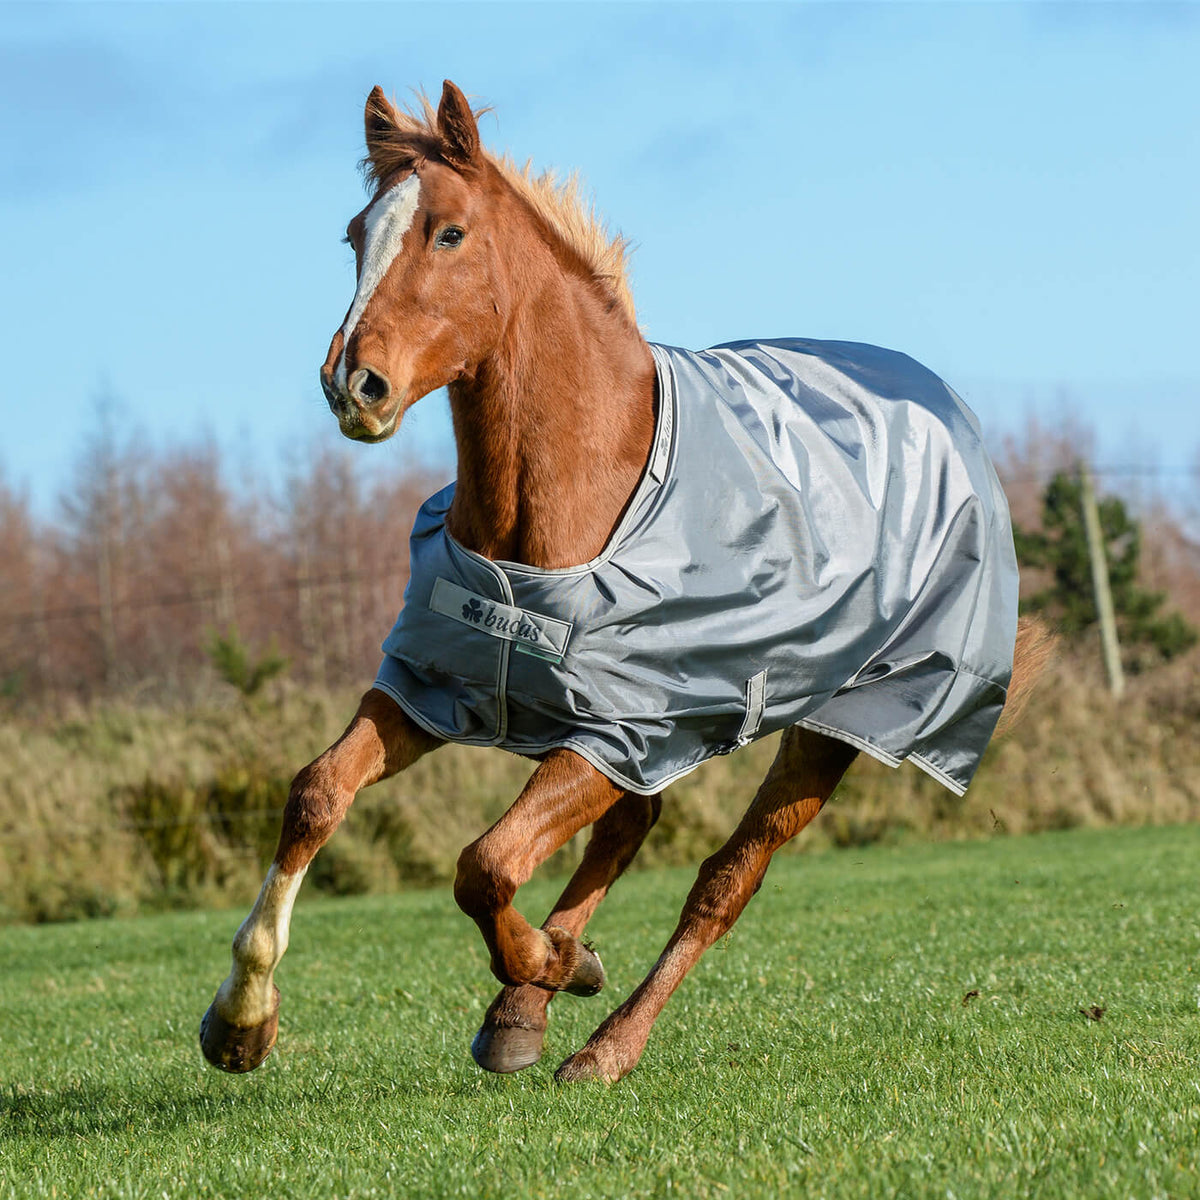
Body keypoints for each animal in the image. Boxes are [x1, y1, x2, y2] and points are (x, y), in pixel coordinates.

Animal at [200, 80, 1052, 1083]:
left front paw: (555, 962)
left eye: (448, 233)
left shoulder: (616, 729)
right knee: (630, 827)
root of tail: (946, 408)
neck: (561, 508)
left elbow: (485, 864)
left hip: (829, 730)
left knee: (723, 881)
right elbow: (317, 793)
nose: (352, 384)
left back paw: (602, 1041)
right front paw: (240, 1021)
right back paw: (523, 1010)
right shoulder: (442, 689)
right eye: (354, 233)